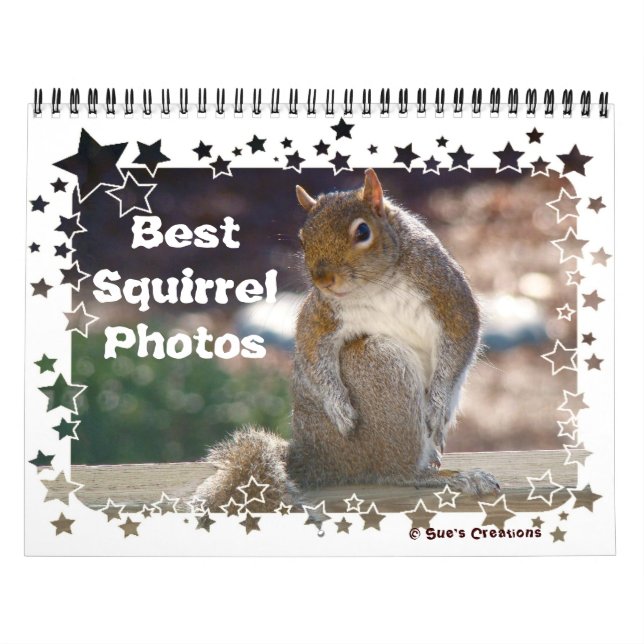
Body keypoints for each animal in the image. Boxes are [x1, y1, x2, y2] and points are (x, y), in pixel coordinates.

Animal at [196, 169, 500, 513]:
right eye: (303, 238)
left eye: (363, 231)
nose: (322, 279)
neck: (378, 284)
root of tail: (317, 458)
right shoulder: (321, 313)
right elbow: (312, 349)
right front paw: (338, 406)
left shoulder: (447, 295)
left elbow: (461, 341)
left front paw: (437, 404)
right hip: (378, 364)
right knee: (395, 472)